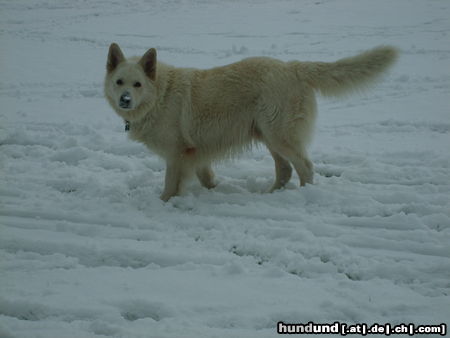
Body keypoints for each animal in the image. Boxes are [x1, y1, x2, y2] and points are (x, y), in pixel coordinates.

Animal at [103, 43, 398, 199]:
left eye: (137, 84)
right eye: (119, 82)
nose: (125, 100)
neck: (160, 94)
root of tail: (292, 67)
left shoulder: (177, 154)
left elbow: (170, 185)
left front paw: (164, 202)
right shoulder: (197, 151)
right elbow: (205, 176)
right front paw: (215, 189)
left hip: (280, 135)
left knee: (305, 167)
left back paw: (304, 195)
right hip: (268, 136)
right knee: (285, 169)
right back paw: (271, 194)